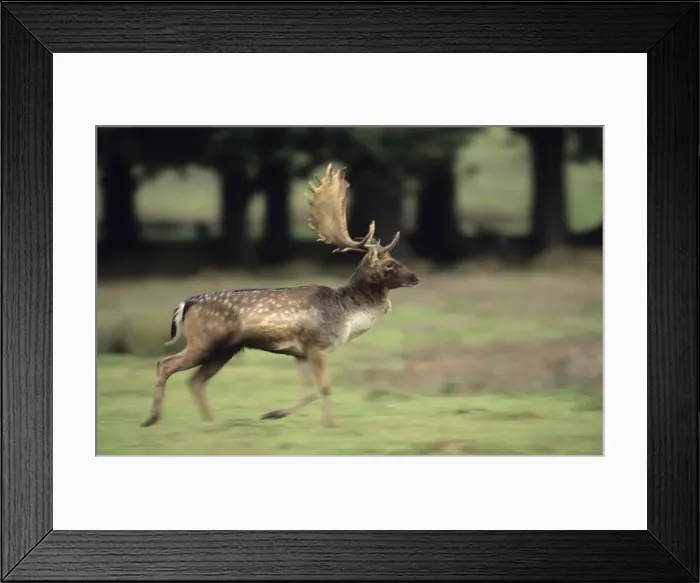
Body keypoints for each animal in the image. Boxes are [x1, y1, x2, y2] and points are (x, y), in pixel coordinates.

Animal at [140, 163, 420, 429]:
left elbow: (311, 390)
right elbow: (324, 387)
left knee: (195, 381)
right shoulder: (316, 344)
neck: (346, 314)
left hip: (224, 349)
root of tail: (184, 304)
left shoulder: (300, 352)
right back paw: (151, 418)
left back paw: (210, 423)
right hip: (204, 341)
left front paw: (272, 414)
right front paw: (331, 423)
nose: (415, 278)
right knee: (165, 364)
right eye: (390, 265)